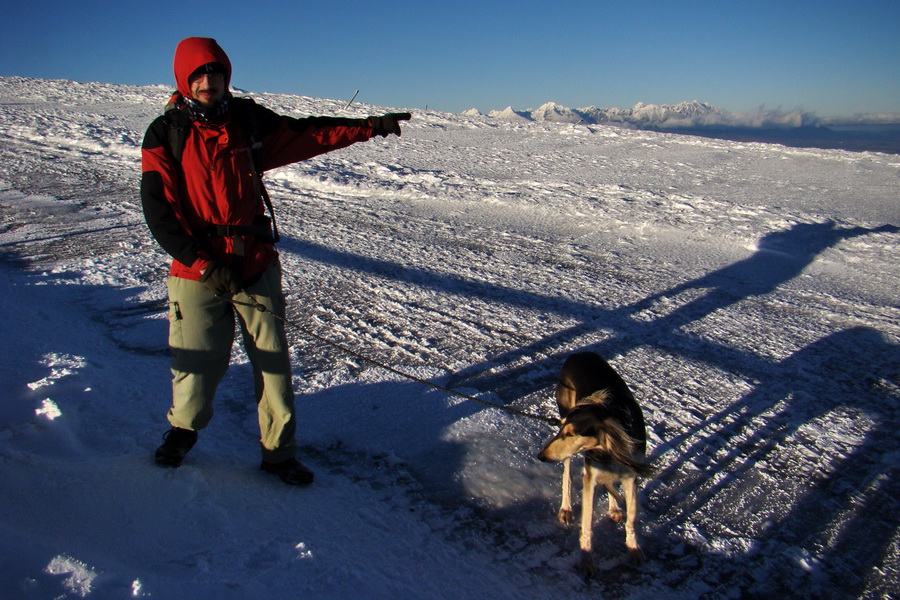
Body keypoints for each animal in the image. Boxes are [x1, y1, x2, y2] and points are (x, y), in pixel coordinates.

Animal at [536, 352, 652, 576]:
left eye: (571, 433)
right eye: (562, 431)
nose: (541, 456)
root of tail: (578, 354)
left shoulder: (630, 477)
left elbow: (632, 517)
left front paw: (633, 548)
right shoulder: (590, 477)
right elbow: (587, 522)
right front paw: (587, 560)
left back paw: (614, 508)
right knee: (567, 473)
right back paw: (566, 508)